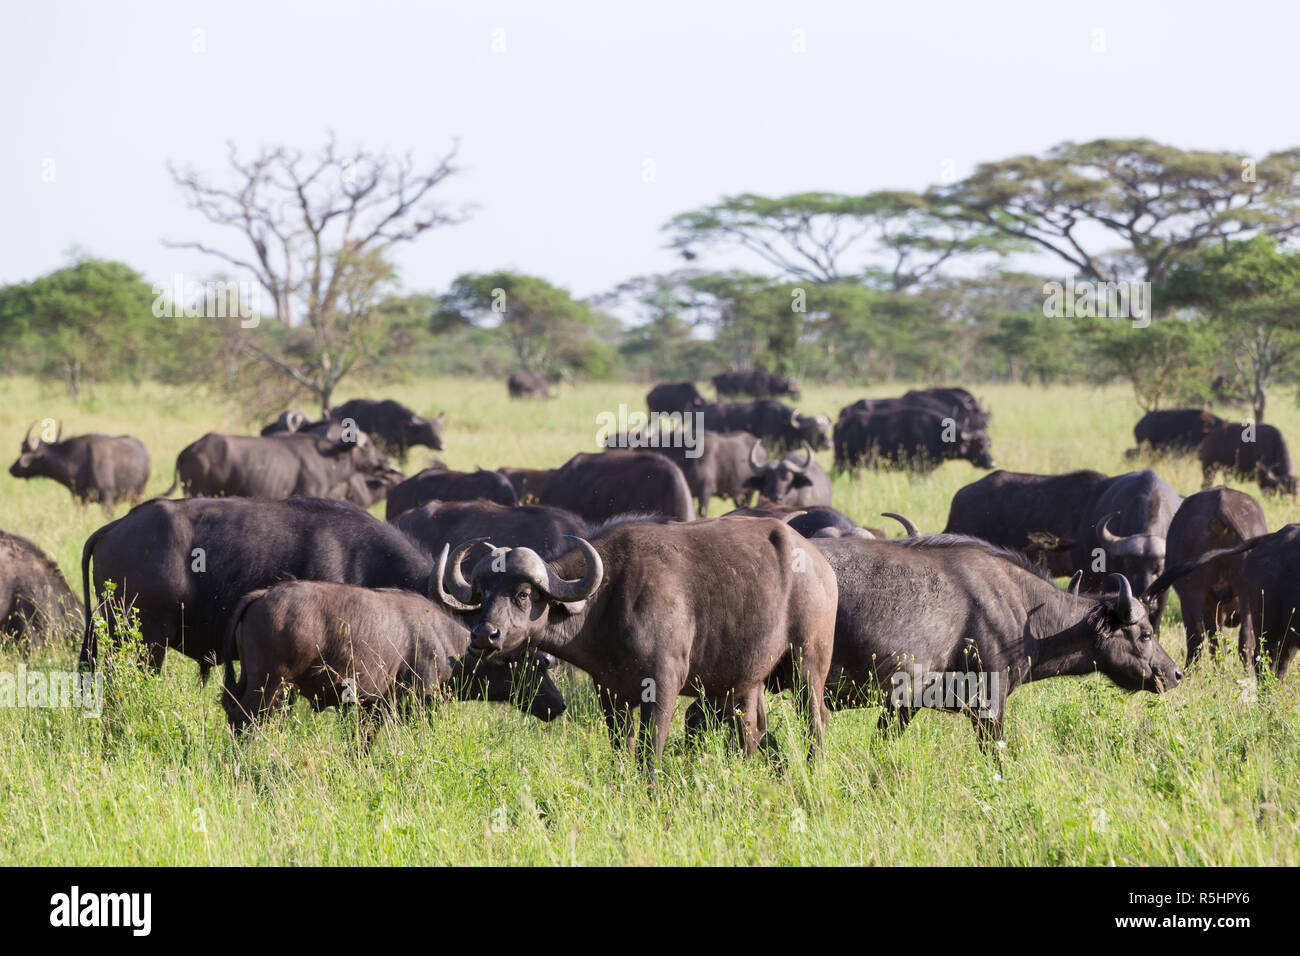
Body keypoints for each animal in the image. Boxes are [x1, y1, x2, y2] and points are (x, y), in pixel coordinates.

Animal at [10, 423, 149, 515]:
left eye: (24, 451)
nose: (11, 469)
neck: (77, 462)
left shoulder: (107, 499)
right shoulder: (79, 499)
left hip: (138, 495)